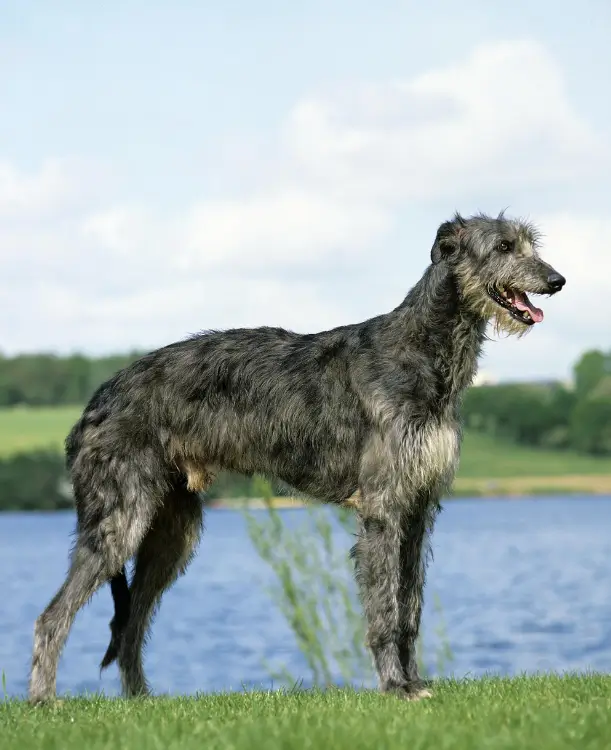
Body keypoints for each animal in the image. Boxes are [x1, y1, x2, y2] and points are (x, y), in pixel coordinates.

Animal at [27, 210, 564, 704]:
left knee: (131, 625)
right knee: (53, 616)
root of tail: (95, 403)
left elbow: (409, 606)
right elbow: (385, 608)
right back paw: (44, 702)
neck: (423, 349)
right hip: (121, 517)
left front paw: (414, 680)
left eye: (531, 244)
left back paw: (141, 701)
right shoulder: (383, 506)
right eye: (503, 247)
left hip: (171, 532)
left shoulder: (418, 507)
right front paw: (395, 686)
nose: (557, 281)